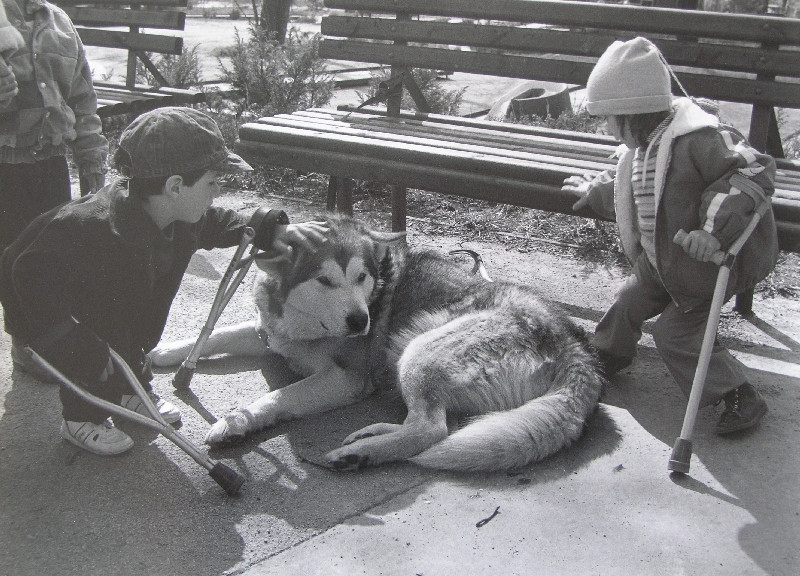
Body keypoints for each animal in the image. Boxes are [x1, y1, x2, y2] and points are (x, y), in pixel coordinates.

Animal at [150, 216, 604, 472]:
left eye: (361, 277)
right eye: (325, 280)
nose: (360, 321)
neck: (307, 323)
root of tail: (576, 345)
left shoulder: (344, 379)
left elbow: (279, 396)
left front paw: (237, 422)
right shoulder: (271, 334)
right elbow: (218, 334)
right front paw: (164, 352)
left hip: (419, 350)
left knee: (431, 430)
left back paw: (361, 454)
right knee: (423, 422)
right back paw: (369, 440)